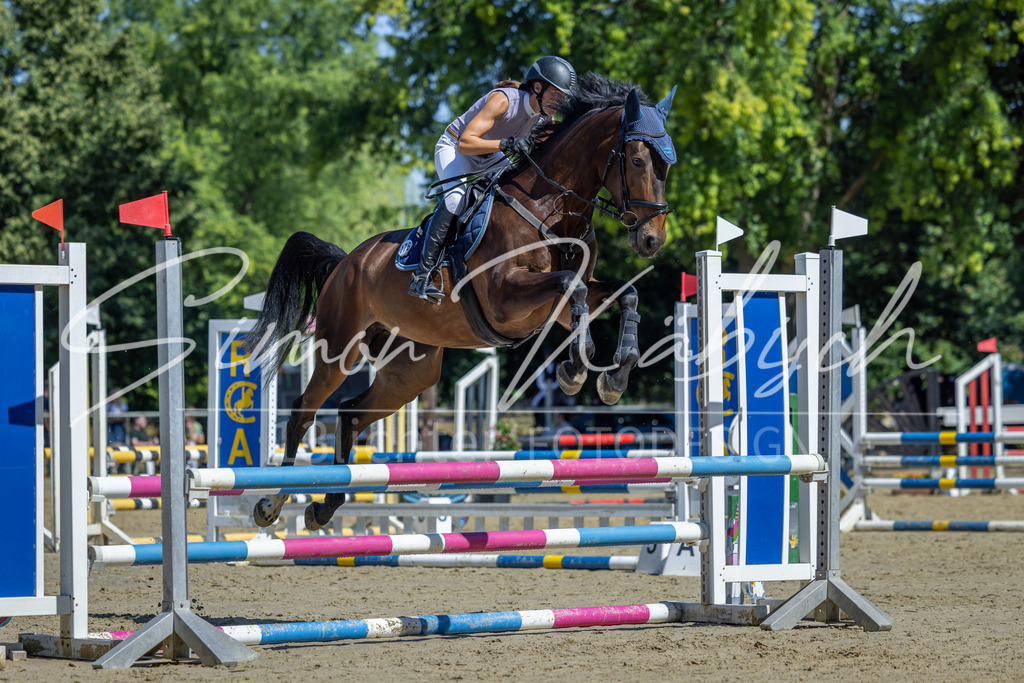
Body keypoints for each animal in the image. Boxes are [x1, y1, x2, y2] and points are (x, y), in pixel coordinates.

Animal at [248, 73, 678, 531]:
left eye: (667, 165)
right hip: (339, 347)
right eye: (637, 160)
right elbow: (571, 288)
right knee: (303, 411)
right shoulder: (507, 299)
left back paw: (324, 506)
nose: (651, 240)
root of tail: (345, 261)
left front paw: (615, 377)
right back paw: (272, 504)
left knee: (350, 413)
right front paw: (574, 371)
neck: (555, 209)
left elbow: (624, 293)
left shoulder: (559, 309)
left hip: (410, 371)